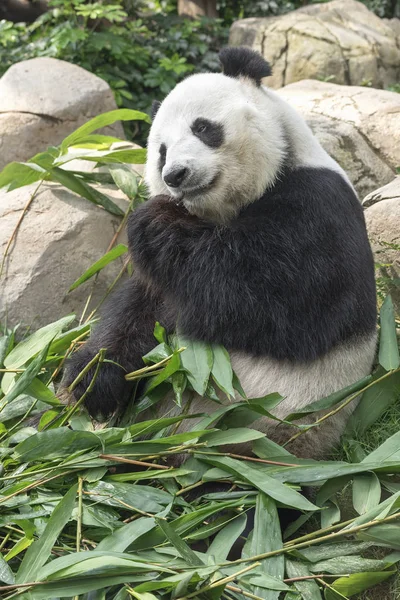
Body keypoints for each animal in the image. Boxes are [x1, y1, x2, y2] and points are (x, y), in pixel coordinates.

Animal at [63, 47, 378, 460]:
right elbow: (140, 310)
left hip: (260, 432)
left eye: (202, 128)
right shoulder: (162, 282)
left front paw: (154, 219)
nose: (175, 175)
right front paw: (91, 379)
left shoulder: (319, 210)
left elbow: (265, 301)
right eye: (161, 152)